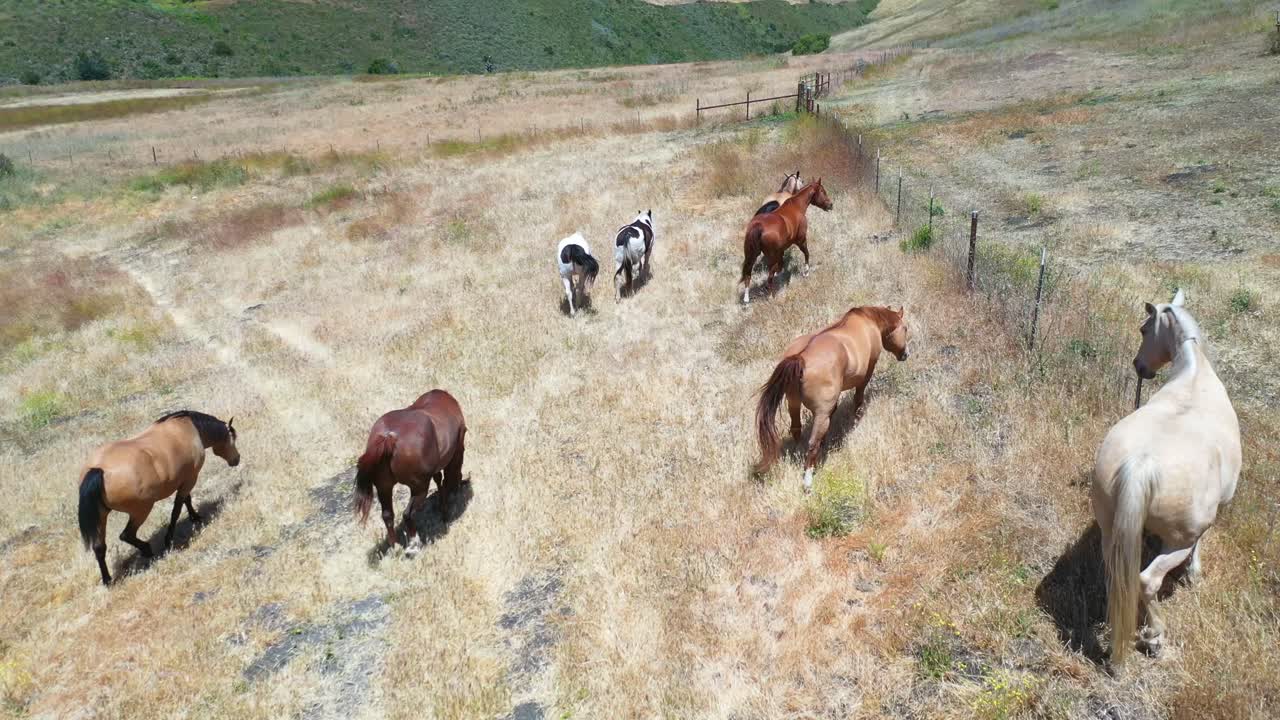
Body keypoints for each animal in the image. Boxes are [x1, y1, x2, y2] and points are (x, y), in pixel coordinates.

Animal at [77, 410, 240, 585]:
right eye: (233, 438)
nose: (237, 459)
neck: (189, 428)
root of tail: (98, 470)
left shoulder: (184, 479)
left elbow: (186, 501)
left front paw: (194, 517)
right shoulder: (190, 478)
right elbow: (177, 509)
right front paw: (170, 538)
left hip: (102, 515)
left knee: (99, 547)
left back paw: (108, 579)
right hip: (141, 510)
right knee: (126, 535)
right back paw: (147, 550)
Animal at [354, 389, 467, 554]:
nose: (460, 485)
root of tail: (389, 438)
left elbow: (438, 479)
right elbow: (444, 479)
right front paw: (445, 512)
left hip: (383, 487)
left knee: (387, 515)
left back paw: (394, 548)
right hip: (419, 488)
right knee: (407, 514)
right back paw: (414, 544)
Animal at [754, 306, 910, 491]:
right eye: (905, 328)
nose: (906, 354)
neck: (867, 320)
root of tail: (800, 357)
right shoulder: (867, 373)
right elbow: (858, 398)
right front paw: (856, 419)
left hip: (793, 403)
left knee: (796, 429)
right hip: (820, 414)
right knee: (812, 443)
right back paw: (808, 480)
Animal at [1092, 289, 1241, 664]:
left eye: (1144, 330)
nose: (1139, 367)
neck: (1194, 372)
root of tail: (1141, 464)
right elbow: (1201, 542)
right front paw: (1194, 574)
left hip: (1110, 529)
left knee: (1120, 575)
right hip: (1177, 541)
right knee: (1147, 581)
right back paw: (1154, 636)